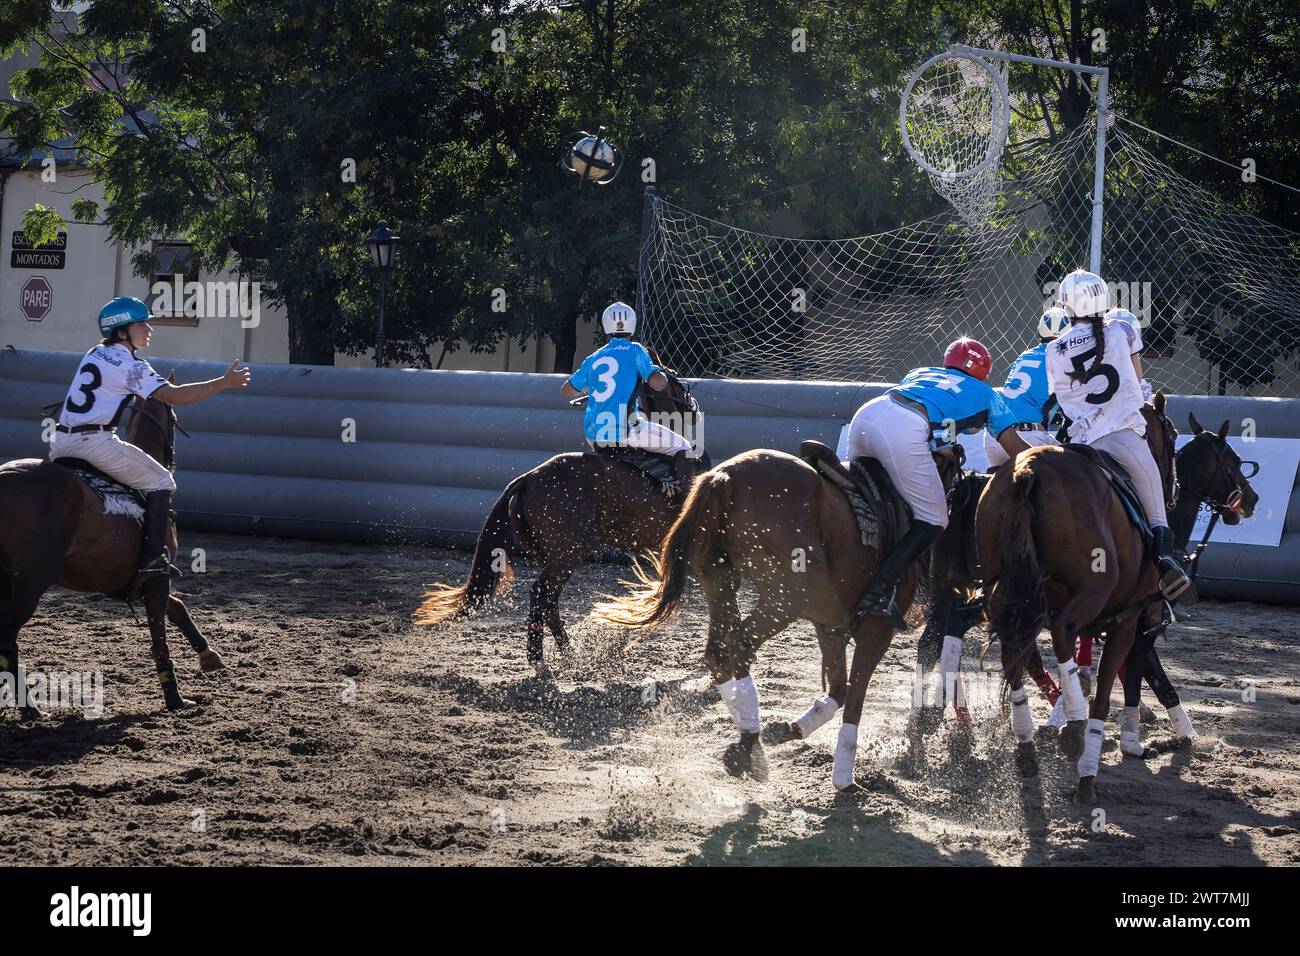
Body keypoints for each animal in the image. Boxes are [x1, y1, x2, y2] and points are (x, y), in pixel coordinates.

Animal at [0, 377, 222, 712]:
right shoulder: (157, 579)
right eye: (174, 417)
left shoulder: (142, 581)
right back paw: (30, 708)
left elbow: (178, 607)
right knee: (7, 639)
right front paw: (174, 698)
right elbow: (160, 637)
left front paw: (208, 655)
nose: (173, 458)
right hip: (29, 581)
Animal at [413, 369, 702, 676]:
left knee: (550, 601)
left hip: (551, 557)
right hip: (567, 555)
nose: (693, 409)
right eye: (675, 381)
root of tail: (527, 479)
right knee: (541, 594)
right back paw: (539, 660)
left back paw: (569, 654)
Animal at [595, 447, 961, 790]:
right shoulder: (876, 631)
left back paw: (750, 738)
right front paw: (843, 776)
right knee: (739, 646)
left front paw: (789, 729)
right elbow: (854, 698)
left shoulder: (831, 627)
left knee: (719, 653)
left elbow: (839, 690)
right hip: (786, 596)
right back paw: (749, 746)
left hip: (722, 581)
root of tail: (723, 477)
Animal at [977, 392, 1185, 806]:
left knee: (1016, 653)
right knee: (1059, 630)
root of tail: (1030, 469)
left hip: (1010, 598)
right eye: (1171, 435)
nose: (1174, 489)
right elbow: (1104, 694)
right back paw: (1073, 729)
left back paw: (1025, 740)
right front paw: (1088, 772)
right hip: (1092, 590)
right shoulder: (1126, 621)